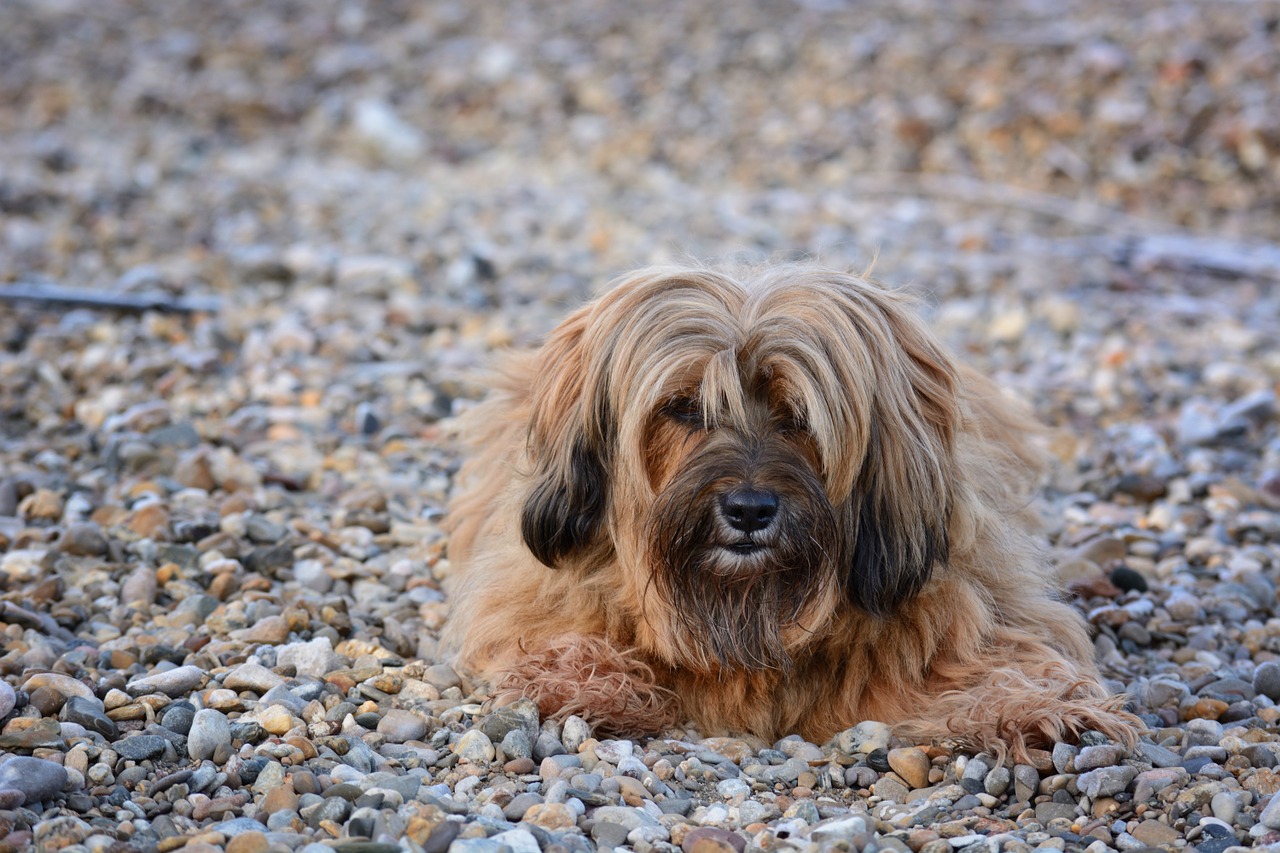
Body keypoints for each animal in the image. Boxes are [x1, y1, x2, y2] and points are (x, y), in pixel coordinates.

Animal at [445, 262, 1136, 753]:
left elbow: (1002, 657)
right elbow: (558, 635)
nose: (749, 510)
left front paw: (1036, 706)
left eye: (799, 415)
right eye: (683, 407)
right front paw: (582, 682)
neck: (747, 608)